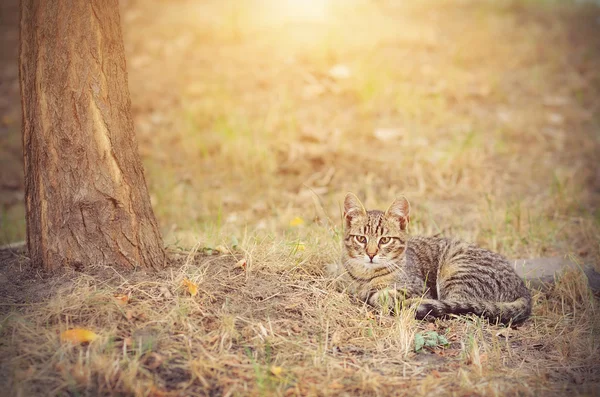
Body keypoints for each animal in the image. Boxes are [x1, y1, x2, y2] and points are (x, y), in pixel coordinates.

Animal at [336, 193, 532, 324]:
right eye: (361, 239)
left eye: (385, 240)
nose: (371, 254)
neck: (364, 275)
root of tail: (522, 287)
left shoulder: (419, 288)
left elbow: (383, 296)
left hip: (457, 272)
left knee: (459, 305)